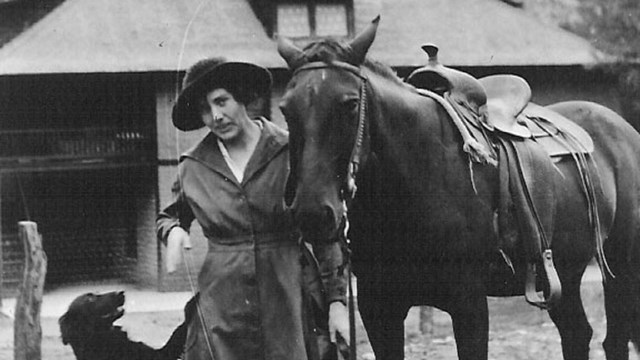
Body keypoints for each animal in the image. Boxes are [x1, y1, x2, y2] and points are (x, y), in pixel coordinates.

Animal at [278, 16, 640, 360]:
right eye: (285, 108)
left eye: (351, 104)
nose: (312, 212)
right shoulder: (378, 308)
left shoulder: (469, 305)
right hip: (567, 273)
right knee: (579, 335)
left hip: (621, 267)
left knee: (612, 340)